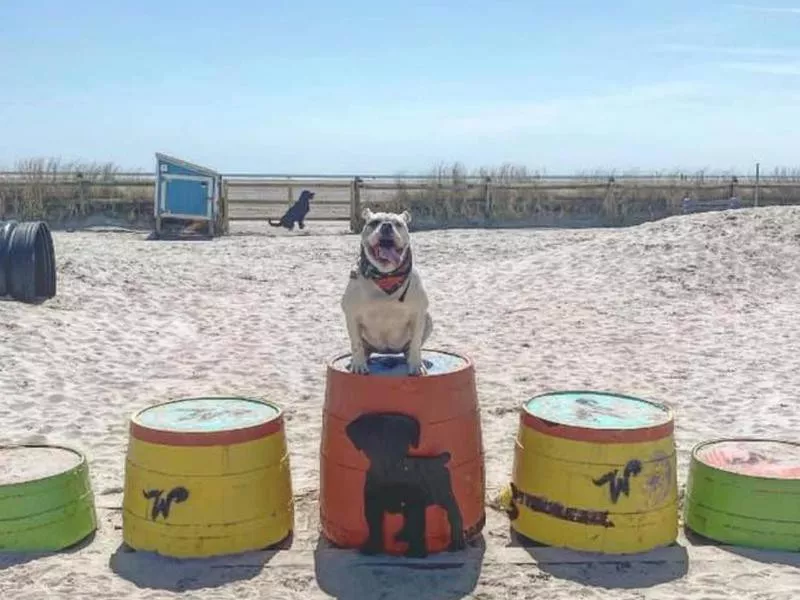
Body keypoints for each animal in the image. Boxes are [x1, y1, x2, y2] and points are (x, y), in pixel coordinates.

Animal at [344, 412, 462, 556]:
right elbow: (374, 527)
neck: (391, 474)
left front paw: (416, 552)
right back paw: (403, 535)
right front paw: (372, 547)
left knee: (454, 515)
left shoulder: (416, 503)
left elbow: (416, 527)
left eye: (401, 441)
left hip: (444, 495)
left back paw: (457, 543)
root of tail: (439, 460)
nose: (390, 458)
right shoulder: (373, 505)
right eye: (374, 439)